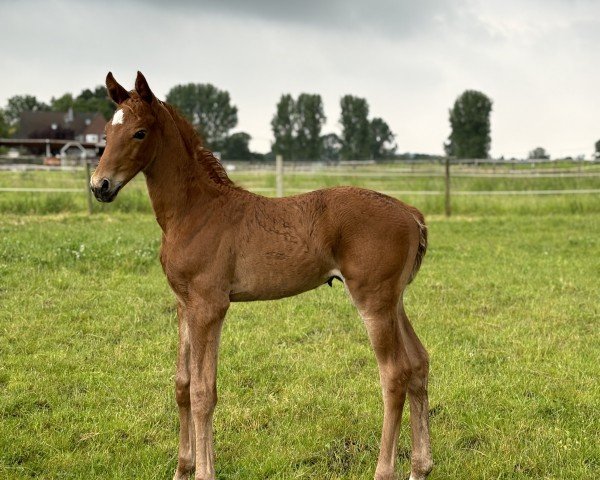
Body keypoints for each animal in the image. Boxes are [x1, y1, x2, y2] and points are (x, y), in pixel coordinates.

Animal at [90, 72, 432, 480]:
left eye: (139, 133)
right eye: (107, 132)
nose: (99, 186)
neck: (194, 210)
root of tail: (411, 212)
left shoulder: (209, 307)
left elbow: (203, 392)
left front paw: (204, 472)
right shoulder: (184, 305)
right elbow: (182, 385)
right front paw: (182, 469)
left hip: (373, 301)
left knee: (394, 374)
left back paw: (385, 470)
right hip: (394, 301)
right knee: (418, 362)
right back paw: (420, 467)